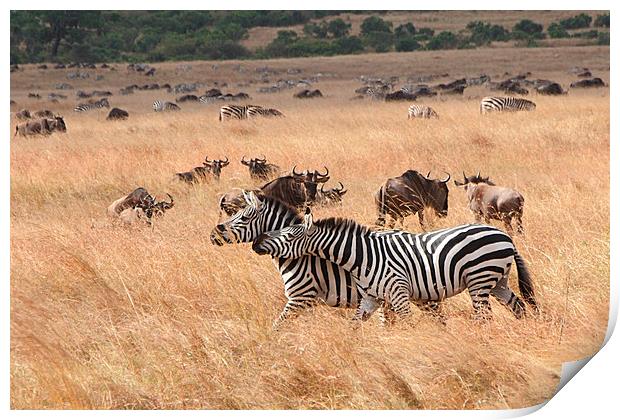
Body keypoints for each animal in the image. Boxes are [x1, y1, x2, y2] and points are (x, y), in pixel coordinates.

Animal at [252, 208, 536, 324]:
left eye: (289, 236)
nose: (257, 243)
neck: (363, 258)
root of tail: (504, 235)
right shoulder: (371, 299)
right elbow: (354, 326)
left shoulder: (398, 293)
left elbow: (408, 324)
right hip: (497, 282)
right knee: (519, 307)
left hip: (479, 279)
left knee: (484, 317)